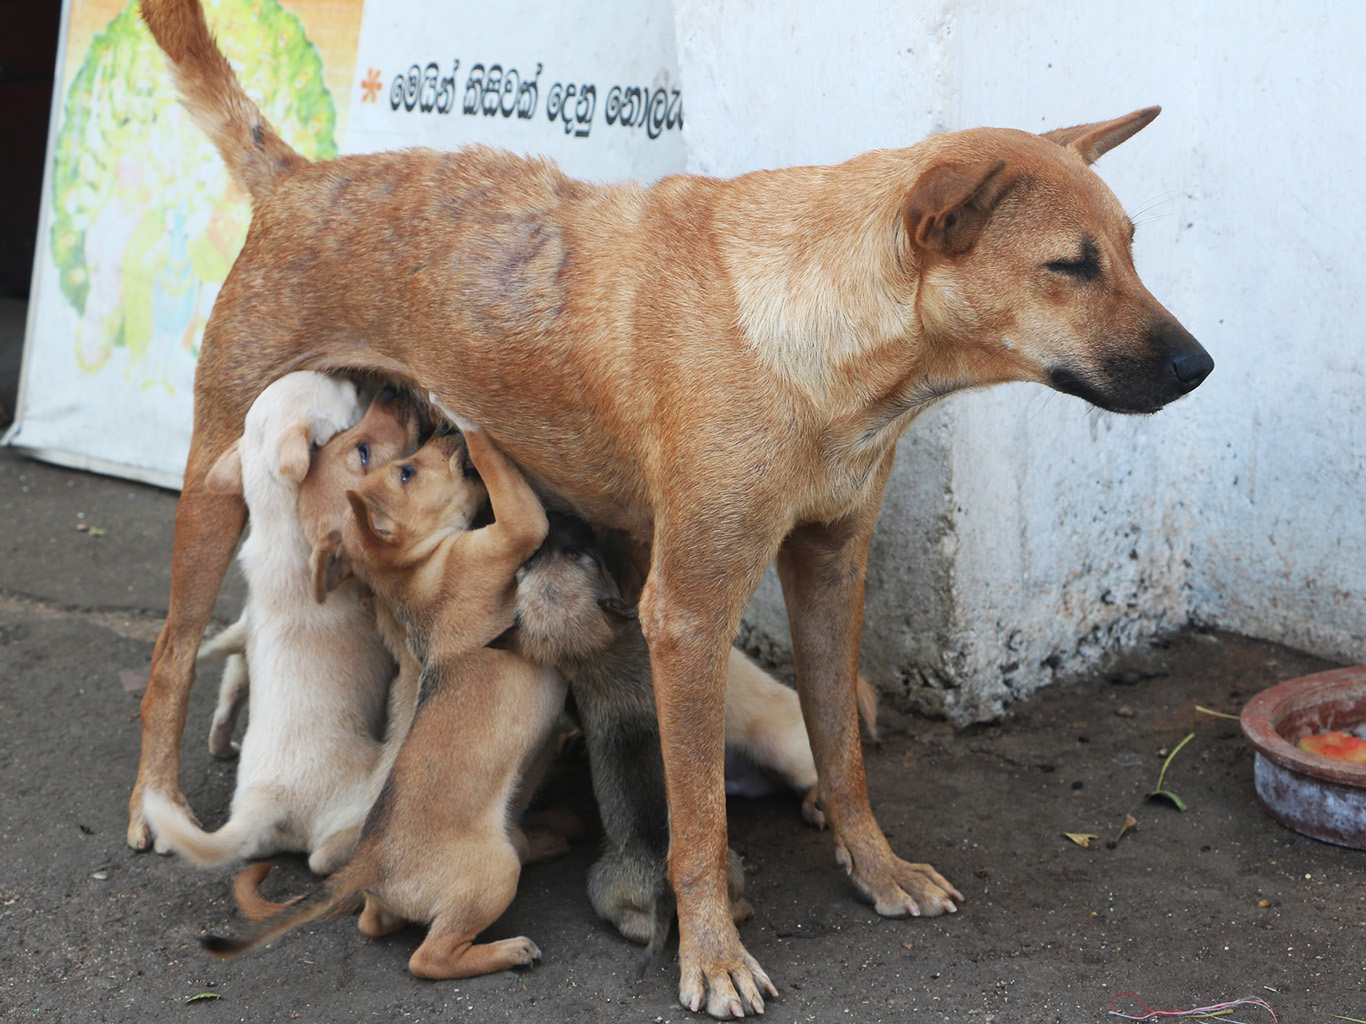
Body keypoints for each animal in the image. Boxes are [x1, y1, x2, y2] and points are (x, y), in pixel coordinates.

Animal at [204, 428, 557, 983]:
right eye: (406, 473)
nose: (442, 430)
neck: (417, 572)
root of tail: (365, 864)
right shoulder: (517, 529)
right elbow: (503, 478)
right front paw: (475, 429)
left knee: (378, 925)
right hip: (494, 873)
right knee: (428, 958)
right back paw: (510, 949)